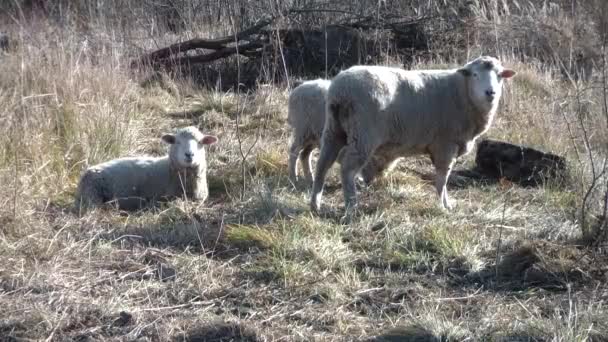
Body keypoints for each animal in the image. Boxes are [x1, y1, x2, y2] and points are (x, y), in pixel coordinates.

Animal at [75, 125, 218, 211]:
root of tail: (86, 173)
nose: (189, 154)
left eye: (200, 142)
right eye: (177, 142)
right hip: (92, 195)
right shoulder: (165, 198)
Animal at [312, 55, 516, 214]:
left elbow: (442, 178)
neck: (463, 92)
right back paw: (351, 206)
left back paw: (315, 204)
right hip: (363, 135)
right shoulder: (446, 145)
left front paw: (445, 203)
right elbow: (443, 178)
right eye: (475, 74)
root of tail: (340, 90)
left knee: (322, 164)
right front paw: (443, 206)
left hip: (334, 129)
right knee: (347, 168)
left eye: (499, 75)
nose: (490, 92)